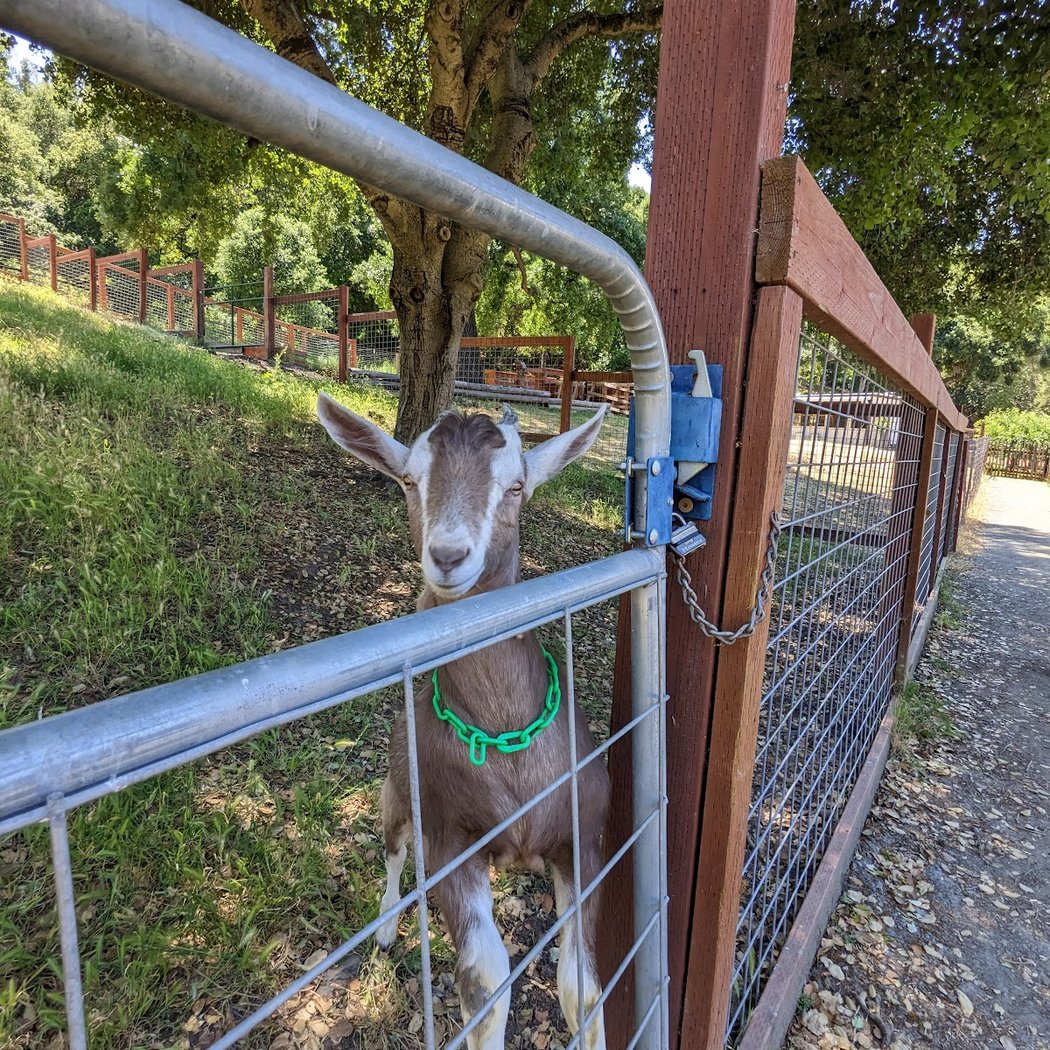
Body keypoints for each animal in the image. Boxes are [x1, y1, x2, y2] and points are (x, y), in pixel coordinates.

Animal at [317, 391, 611, 1050]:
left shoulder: (582, 836)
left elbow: (584, 988)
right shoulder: (452, 841)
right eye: (409, 480)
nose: (448, 557)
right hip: (396, 790)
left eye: (517, 486)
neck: (507, 740)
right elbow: (484, 982)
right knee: (394, 851)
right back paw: (384, 928)